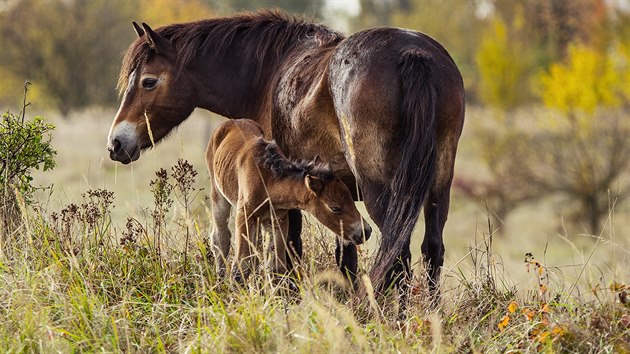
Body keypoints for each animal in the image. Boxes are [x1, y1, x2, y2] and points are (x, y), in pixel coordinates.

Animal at [205, 120, 372, 280]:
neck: (268, 181)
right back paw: (220, 278)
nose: (366, 231)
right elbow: (242, 265)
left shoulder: (278, 219)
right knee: (220, 238)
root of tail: (230, 122)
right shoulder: (245, 215)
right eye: (335, 208)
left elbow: (276, 266)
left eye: (351, 199)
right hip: (218, 194)